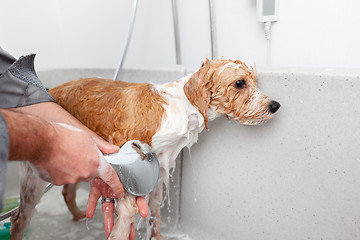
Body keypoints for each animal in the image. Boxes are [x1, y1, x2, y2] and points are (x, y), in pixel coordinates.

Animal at [10, 58, 282, 240]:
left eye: (255, 81)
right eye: (240, 83)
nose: (275, 105)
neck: (180, 107)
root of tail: (50, 91)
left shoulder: (159, 169)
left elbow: (155, 211)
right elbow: (128, 210)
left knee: (66, 192)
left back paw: (78, 216)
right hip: (37, 177)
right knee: (19, 218)